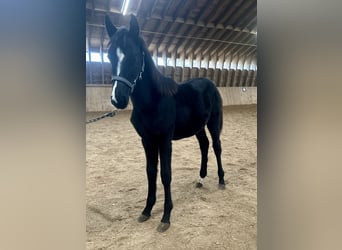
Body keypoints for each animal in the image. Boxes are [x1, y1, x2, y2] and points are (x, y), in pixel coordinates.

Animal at [105, 14, 226, 232]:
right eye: (110, 55)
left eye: (134, 56)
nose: (118, 99)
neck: (154, 101)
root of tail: (210, 83)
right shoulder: (147, 140)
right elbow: (151, 172)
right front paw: (146, 210)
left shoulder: (164, 140)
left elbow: (165, 174)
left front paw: (166, 217)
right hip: (198, 127)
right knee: (204, 146)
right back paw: (200, 179)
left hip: (213, 123)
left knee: (216, 147)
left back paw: (221, 180)